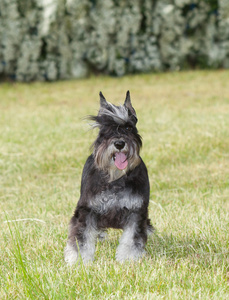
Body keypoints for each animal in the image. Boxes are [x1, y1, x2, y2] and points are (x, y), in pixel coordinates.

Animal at [64, 91, 153, 264]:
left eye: (128, 127)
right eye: (105, 128)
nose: (119, 143)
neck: (116, 178)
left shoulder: (136, 212)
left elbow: (131, 239)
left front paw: (128, 260)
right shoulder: (87, 210)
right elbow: (82, 238)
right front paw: (79, 261)